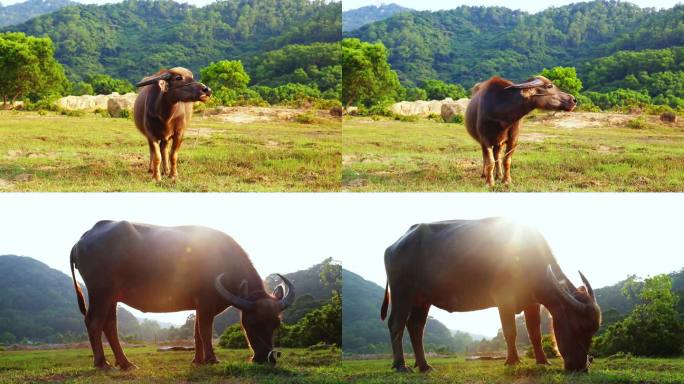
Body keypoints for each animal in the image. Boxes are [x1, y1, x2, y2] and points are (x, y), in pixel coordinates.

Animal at [70, 220, 294, 370]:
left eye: (277, 324)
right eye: (251, 323)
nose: (268, 358)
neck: (224, 260)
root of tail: (84, 238)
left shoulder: (199, 305)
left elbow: (196, 333)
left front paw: (198, 360)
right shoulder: (205, 301)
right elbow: (205, 330)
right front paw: (212, 359)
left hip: (112, 296)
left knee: (109, 325)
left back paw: (125, 363)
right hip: (101, 291)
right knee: (94, 322)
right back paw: (102, 363)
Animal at [382, 219, 600, 372]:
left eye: (592, 331)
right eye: (579, 327)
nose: (581, 367)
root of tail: (394, 246)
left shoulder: (532, 303)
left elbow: (534, 333)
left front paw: (543, 361)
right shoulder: (504, 298)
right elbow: (510, 331)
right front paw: (512, 361)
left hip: (422, 300)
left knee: (416, 327)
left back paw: (424, 365)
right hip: (402, 294)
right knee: (396, 324)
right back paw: (401, 365)